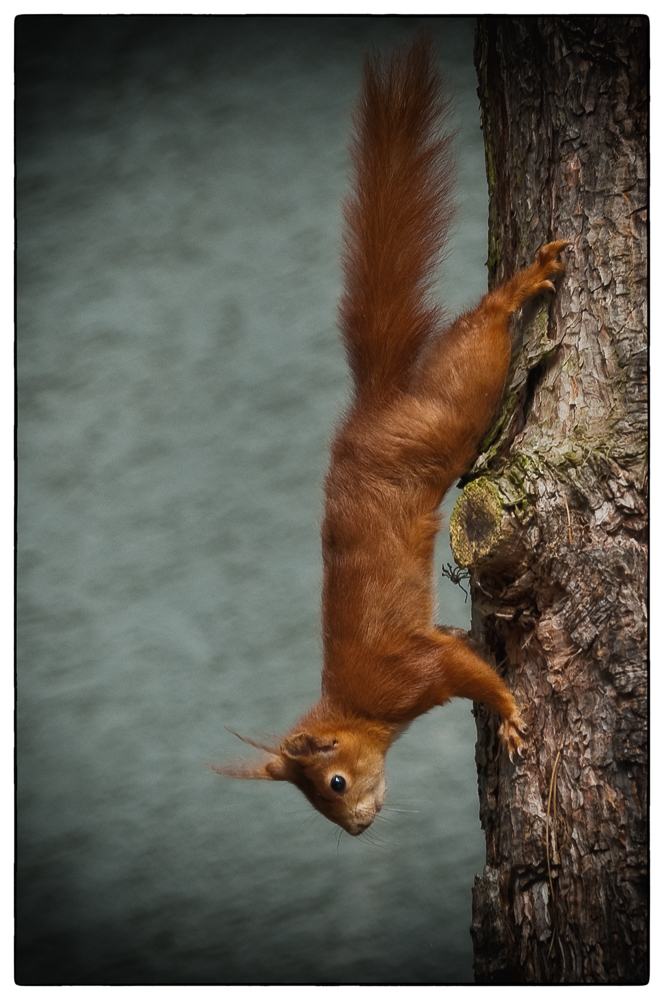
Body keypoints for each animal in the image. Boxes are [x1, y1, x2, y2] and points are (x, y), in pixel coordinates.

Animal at [219, 39, 572, 836]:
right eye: (318, 804)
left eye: (336, 782)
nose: (356, 830)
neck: (357, 707)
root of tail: (369, 411)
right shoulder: (425, 655)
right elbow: (464, 649)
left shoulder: (412, 673)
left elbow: (473, 677)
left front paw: (509, 714)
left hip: (450, 407)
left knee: (483, 331)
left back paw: (523, 283)